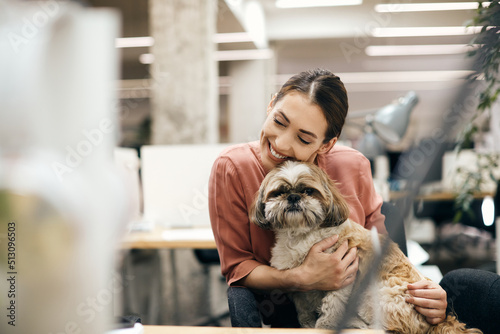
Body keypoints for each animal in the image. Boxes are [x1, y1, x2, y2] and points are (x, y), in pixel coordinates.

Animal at [252, 160, 482, 332]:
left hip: (374, 295)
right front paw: (307, 325)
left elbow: (331, 308)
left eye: (308, 191)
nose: (293, 197)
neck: (301, 235)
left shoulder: (344, 276)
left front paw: (325, 325)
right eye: (278, 192)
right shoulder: (300, 286)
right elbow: (303, 311)